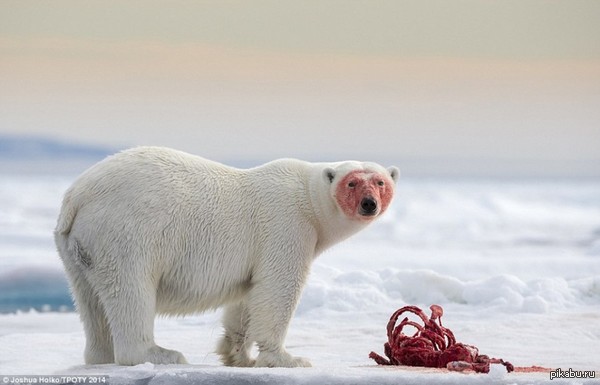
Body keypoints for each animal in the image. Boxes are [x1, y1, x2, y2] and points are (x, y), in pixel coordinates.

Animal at [55, 146, 398, 366]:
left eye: (380, 181)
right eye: (352, 182)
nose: (369, 203)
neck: (307, 198)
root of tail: (77, 196)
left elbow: (248, 297)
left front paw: (237, 354)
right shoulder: (287, 226)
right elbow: (277, 290)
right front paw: (289, 358)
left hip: (79, 247)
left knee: (90, 301)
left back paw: (100, 356)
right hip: (127, 232)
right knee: (131, 290)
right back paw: (160, 354)